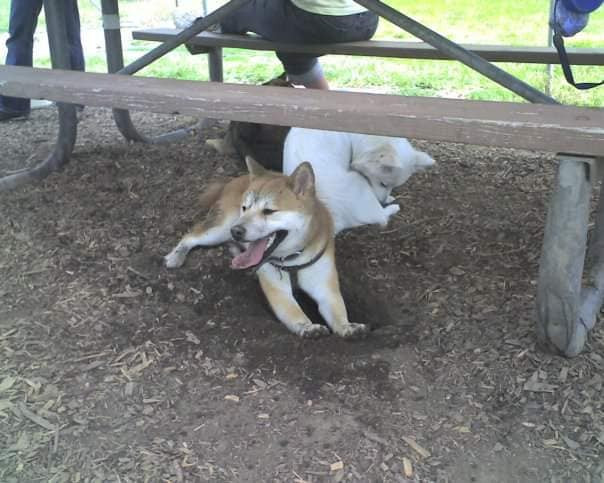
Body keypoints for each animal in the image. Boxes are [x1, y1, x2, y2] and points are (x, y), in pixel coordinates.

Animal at [284, 129, 434, 234]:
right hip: (358, 181)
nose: (382, 202)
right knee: (381, 216)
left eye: (391, 186)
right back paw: (393, 208)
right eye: (383, 184)